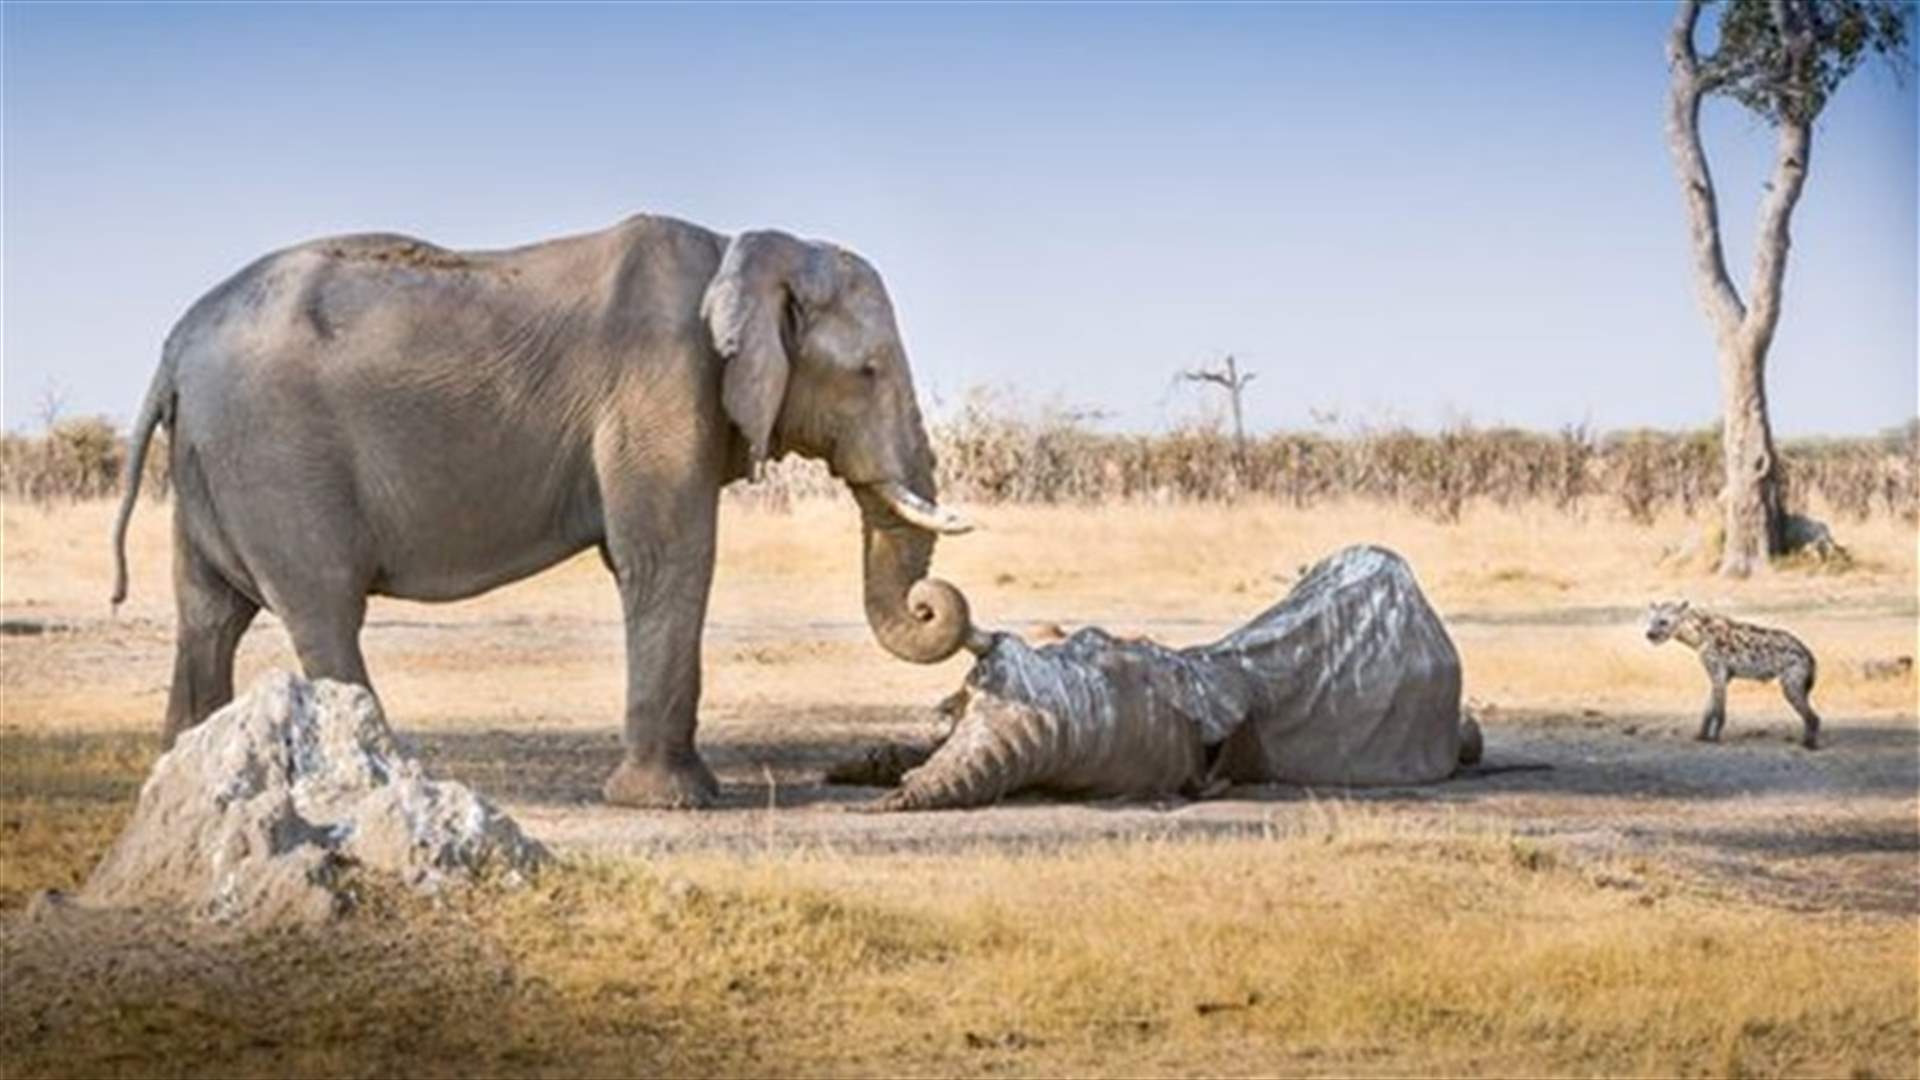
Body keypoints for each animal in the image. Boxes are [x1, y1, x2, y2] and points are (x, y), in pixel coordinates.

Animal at [109, 213, 977, 809]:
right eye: (869, 372)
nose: (933, 606)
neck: (743, 247)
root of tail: (173, 346)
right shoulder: (662, 390)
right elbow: (667, 557)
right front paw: (675, 804)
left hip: (212, 463)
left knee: (209, 616)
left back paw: (184, 782)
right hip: (276, 455)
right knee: (322, 610)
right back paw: (381, 783)